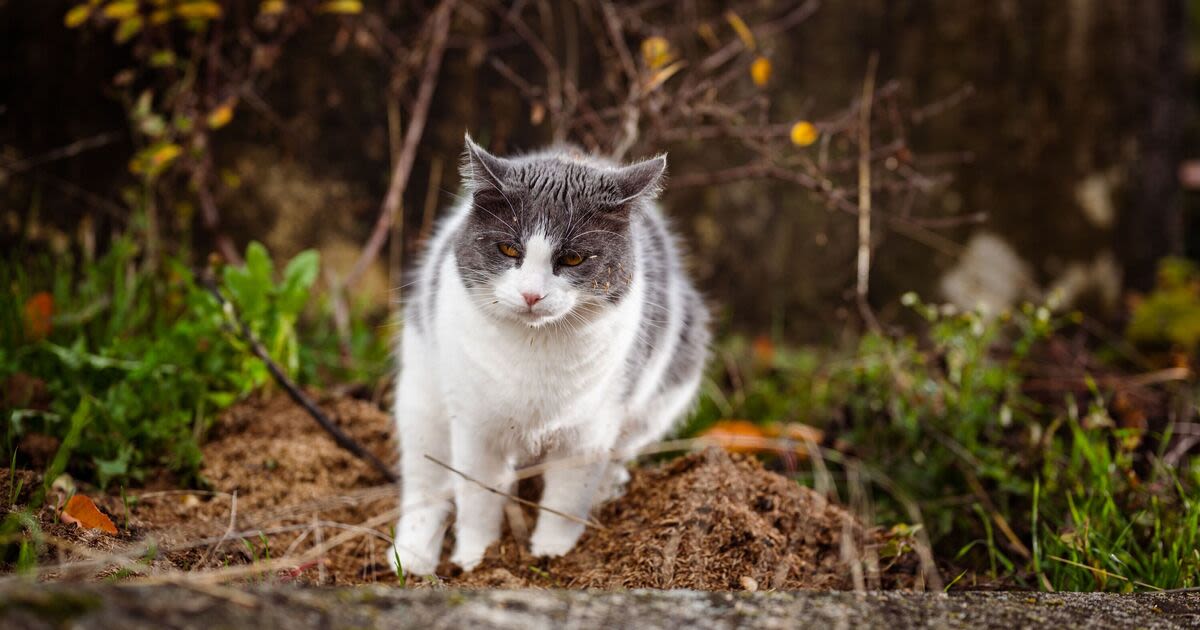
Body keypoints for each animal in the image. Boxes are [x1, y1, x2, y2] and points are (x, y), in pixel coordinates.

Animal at [391, 135, 710, 571]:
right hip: (421, 399)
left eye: (573, 258)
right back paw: (412, 556)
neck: (535, 347)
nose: (531, 295)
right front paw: (476, 559)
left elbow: (566, 502)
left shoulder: (588, 433)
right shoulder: (476, 428)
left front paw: (552, 554)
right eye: (509, 249)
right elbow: (477, 498)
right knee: (425, 481)